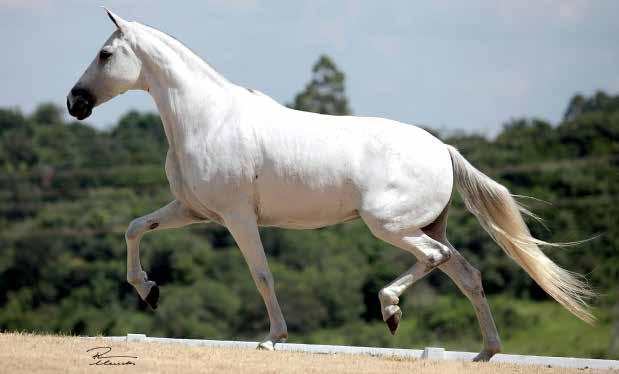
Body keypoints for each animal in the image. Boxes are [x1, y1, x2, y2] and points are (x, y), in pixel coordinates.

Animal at [65, 8, 592, 360]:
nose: (75, 102)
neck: (208, 119)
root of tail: (443, 149)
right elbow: (134, 228)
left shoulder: (237, 217)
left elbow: (261, 274)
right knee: (466, 273)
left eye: (105, 54)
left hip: (390, 226)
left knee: (437, 260)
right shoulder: (191, 210)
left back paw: (391, 310)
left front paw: (272, 338)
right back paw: (484, 352)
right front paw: (148, 291)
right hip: (425, 225)